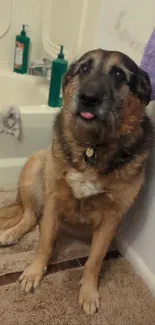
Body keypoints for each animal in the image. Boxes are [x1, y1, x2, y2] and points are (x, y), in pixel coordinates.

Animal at [0, 49, 153, 312]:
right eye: (83, 69)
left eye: (119, 74)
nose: (88, 98)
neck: (92, 147)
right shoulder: (53, 202)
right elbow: (44, 243)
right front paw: (34, 272)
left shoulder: (111, 220)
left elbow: (95, 260)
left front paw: (88, 292)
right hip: (37, 163)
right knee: (29, 216)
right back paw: (12, 233)